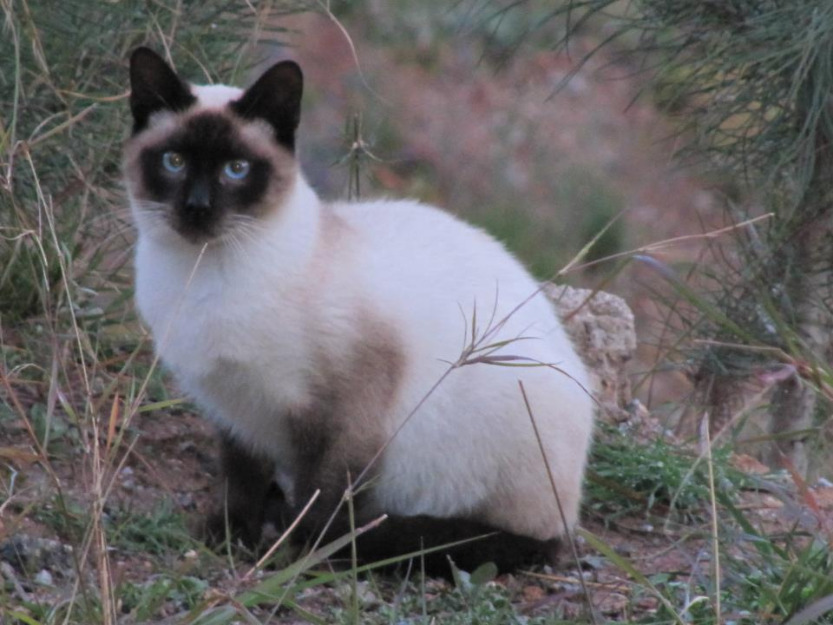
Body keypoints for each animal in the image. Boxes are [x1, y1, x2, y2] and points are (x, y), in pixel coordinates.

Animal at [123, 47, 596, 576]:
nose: (198, 208)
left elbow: (323, 496)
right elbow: (241, 481)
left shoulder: (344, 414)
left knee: (514, 540)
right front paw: (230, 537)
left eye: (236, 169)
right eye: (174, 161)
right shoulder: (232, 410)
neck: (202, 277)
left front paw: (298, 553)